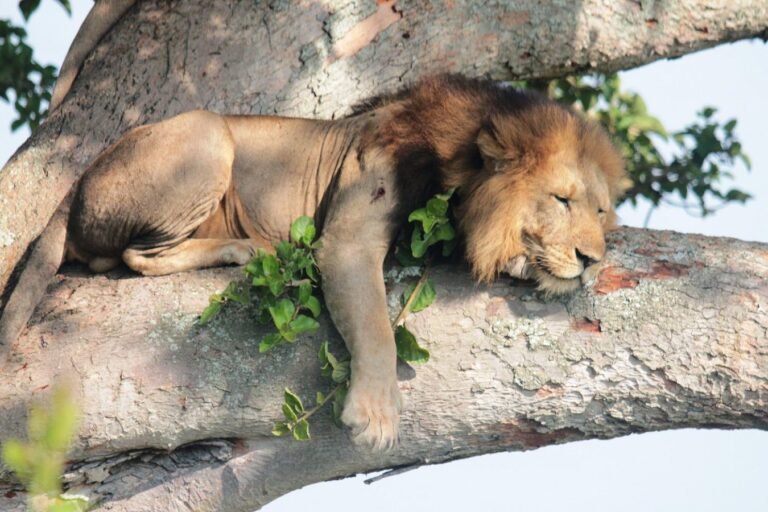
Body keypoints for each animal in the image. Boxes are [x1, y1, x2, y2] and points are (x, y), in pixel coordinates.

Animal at [0, 74, 627, 450]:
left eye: (599, 210)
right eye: (561, 199)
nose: (592, 259)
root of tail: (76, 183)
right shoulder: (348, 236)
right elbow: (375, 327)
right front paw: (375, 415)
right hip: (208, 131)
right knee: (133, 255)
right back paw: (246, 247)